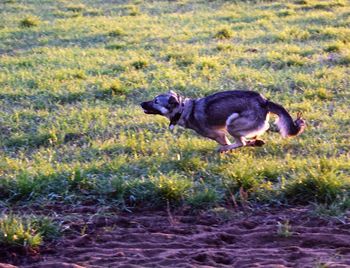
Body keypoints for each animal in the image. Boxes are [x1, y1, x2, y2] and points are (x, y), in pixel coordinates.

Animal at [141, 90, 304, 152]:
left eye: (155, 101)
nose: (141, 103)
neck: (184, 109)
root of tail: (264, 101)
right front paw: (256, 142)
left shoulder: (219, 135)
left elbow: (230, 143)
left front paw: (225, 149)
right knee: (246, 140)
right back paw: (256, 142)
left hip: (231, 124)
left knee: (240, 142)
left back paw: (225, 149)